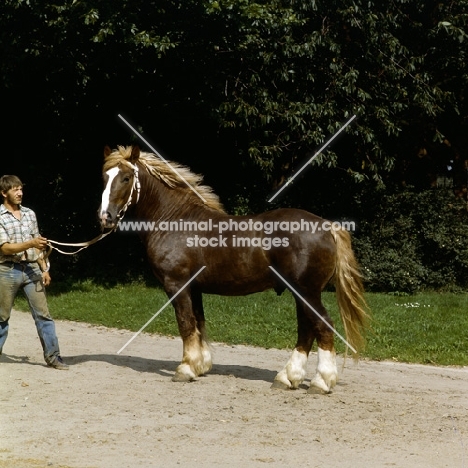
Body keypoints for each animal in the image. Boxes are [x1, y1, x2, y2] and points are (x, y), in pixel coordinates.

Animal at [98, 144, 370, 394]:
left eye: (126, 177)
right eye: (105, 177)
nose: (105, 217)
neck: (174, 219)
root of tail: (327, 226)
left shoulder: (177, 285)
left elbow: (185, 323)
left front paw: (185, 369)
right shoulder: (194, 288)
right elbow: (198, 323)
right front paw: (200, 365)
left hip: (306, 292)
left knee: (323, 325)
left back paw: (321, 381)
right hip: (301, 293)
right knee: (306, 329)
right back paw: (287, 378)